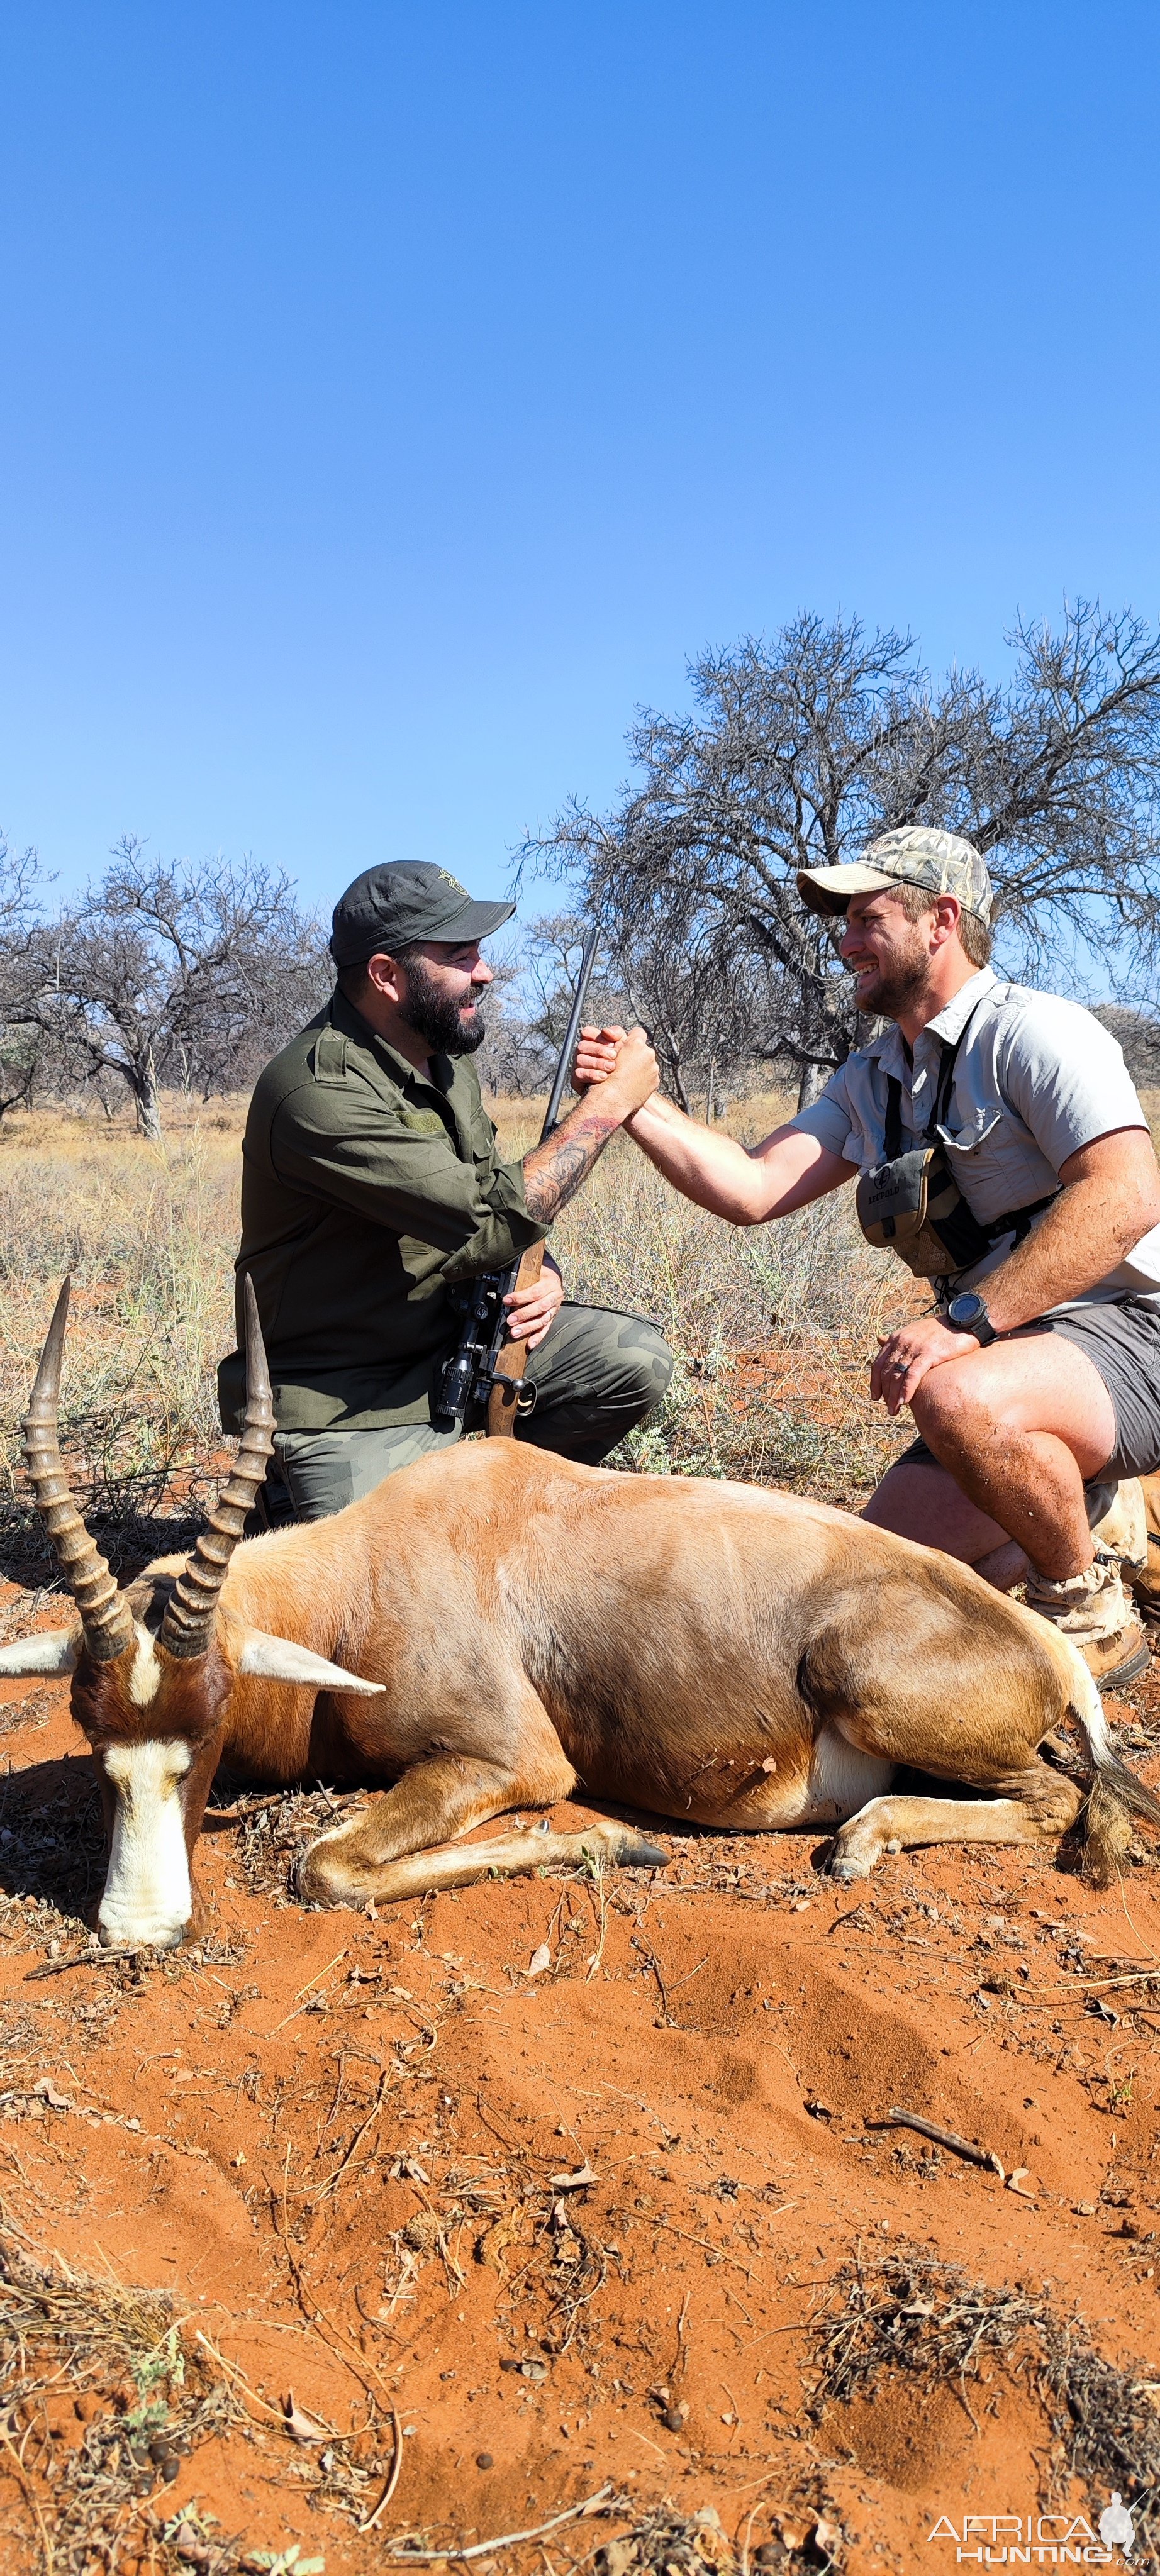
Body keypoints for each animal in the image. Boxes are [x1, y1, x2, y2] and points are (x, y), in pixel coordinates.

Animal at [2, 1277, 1160, 1937]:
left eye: (208, 1724)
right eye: (89, 1731)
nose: (140, 1927)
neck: (366, 1569)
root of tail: (1046, 1650)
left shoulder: (510, 1762)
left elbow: (328, 1865)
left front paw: (618, 1846)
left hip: (880, 1696)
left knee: (1053, 1801)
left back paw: (859, 1840)